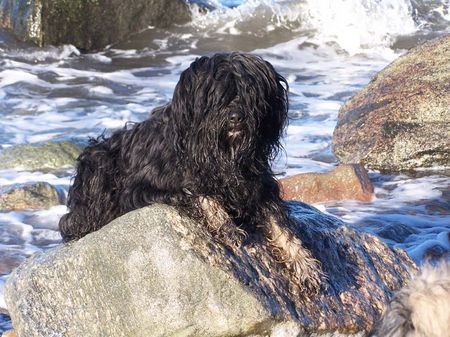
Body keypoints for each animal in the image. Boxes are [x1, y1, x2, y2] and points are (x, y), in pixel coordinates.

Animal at [58, 51, 322, 292]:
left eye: (250, 95)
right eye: (218, 96)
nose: (236, 117)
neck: (223, 154)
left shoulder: (259, 187)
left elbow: (282, 228)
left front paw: (305, 265)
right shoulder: (146, 187)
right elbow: (199, 194)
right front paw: (227, 227)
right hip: (99, 165)